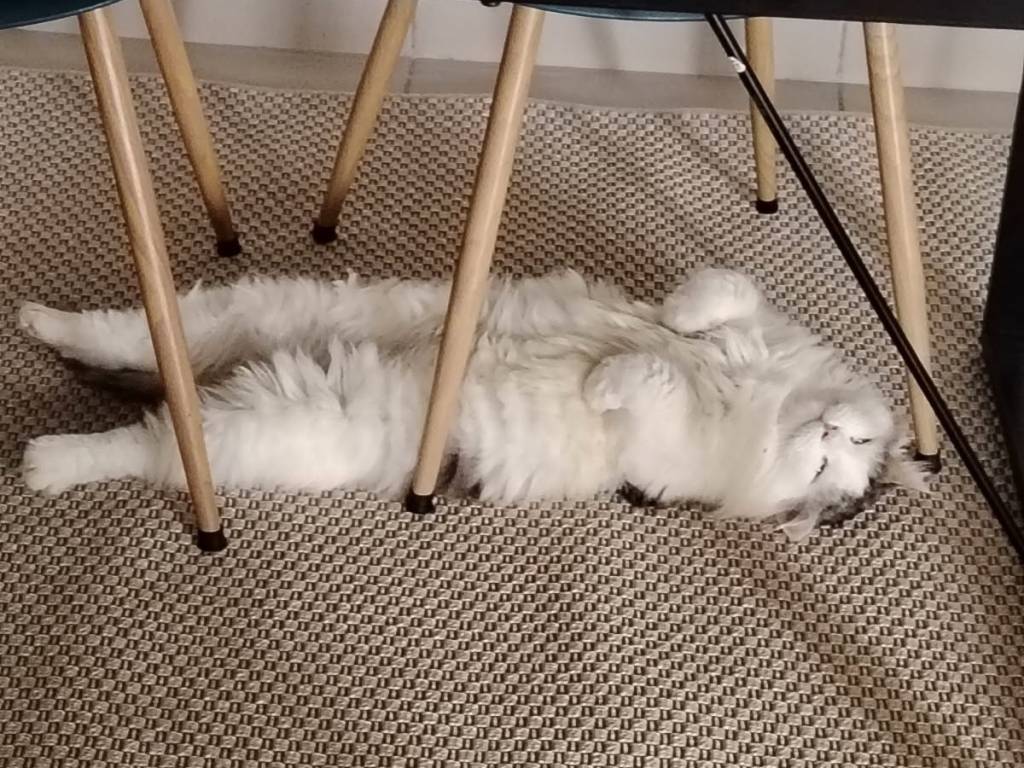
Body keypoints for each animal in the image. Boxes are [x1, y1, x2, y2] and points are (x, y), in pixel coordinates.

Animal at [18, 268, 927, 540]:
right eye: (837, 449)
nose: (824, 428)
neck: (767, 399)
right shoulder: (749, 315)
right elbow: (713, 300)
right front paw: (676, 325)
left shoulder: (664, 445)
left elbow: (647, 375)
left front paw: (602, 379)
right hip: (256, 313)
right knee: (124, 336)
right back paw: (36, 317)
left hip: (292, 415)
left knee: (150, 438)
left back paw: (44, 461)